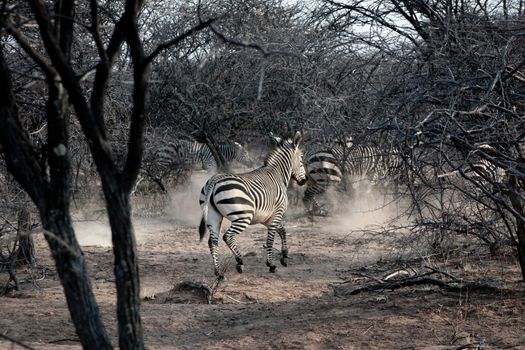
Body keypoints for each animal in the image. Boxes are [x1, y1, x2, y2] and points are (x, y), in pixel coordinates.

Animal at [200, 130, 308, 278]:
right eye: (301, 158)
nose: (305, 180)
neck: (278, 174)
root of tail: (214, 180)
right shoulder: (277, 212)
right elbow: (271, 238)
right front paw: (271, 264)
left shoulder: (265, 217)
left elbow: (282, 230)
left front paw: (284, 256)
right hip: (243, 216)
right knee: (227, 236)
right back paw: (239, 262)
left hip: (213, 216)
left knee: (212, 241)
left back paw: (218, 271)